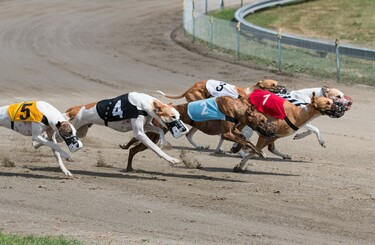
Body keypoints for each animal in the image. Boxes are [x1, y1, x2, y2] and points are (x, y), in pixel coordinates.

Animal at [119, 94, 276, 171]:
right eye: (262, 120)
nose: (273, 131)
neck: (237, 108)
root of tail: (158, 112)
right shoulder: (227, 134)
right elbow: (246, 141)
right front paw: (260, 152)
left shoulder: (234, 131)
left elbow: (245, 139)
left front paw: (239, 149)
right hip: (156, 135)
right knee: (135, 146)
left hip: (154, 135)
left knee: (133, 146)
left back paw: (129, 166)